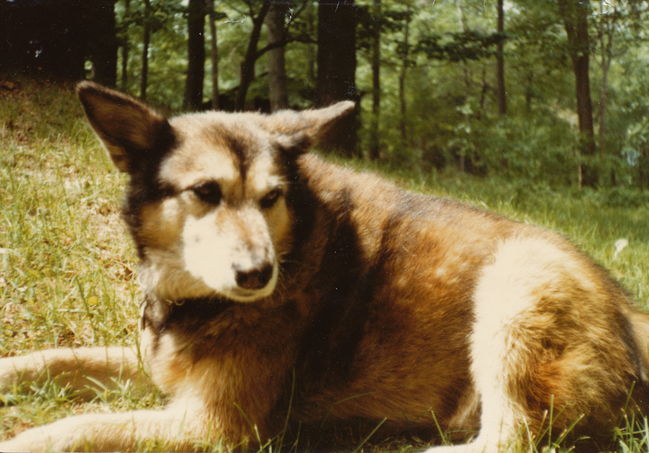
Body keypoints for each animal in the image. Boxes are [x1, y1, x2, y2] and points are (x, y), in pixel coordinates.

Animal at [1, 79, 648, 450]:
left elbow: (76, 428)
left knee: (511, 440)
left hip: (516, 286)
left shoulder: (213, 426)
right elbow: (55, 359)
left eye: (272, 197)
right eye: (205, 192)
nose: (258, 276)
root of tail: (628, 308)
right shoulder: (156, 367)